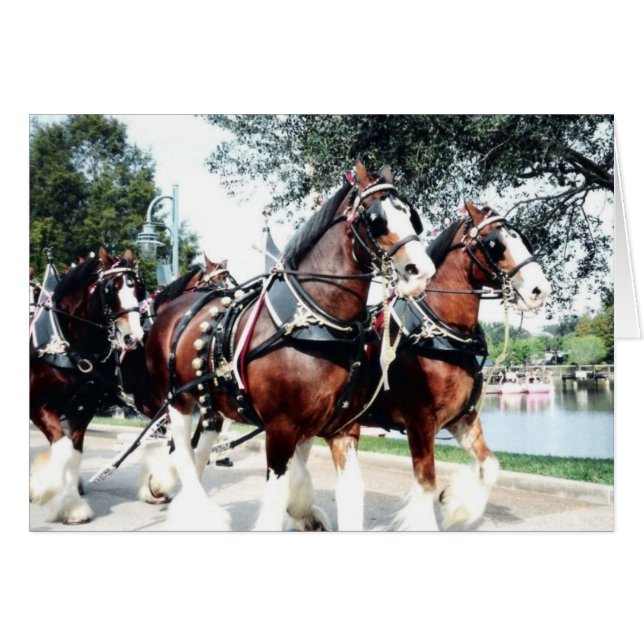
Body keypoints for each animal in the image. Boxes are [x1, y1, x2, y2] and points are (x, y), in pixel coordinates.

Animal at [29, 248, 145, 524]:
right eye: (111, 289)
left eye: (139, 288)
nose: (133, 337)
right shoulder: (38, 406)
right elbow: (63, 452)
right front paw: (53, 492)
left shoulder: (83, 410)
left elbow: (73, 455)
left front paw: (71, 503)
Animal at [145, 163, 436, 530]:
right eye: (375, 219)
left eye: (411, 217)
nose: (422, 271)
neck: (316, 324)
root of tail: (173, 307)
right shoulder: (281, 427)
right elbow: (278, 496)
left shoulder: (341, 427)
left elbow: (349, 492)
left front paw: (308, 512)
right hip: (177, 398)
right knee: (182, 449)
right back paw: (198, 509)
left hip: (211, 400)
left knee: (201, 442)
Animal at [320, 201, 552, 530]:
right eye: (496, 244)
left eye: (522, 238)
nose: (539, 289)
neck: (437, 334)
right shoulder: (419, 420)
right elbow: (426, 482)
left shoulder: (462, 417)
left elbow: (490, 466)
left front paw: (457, 505)